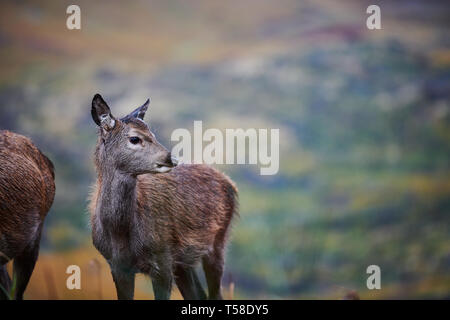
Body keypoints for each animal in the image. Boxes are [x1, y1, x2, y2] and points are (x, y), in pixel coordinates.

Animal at [87, 94, 239, 298]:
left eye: (153, 134)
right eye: (134, 138)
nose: (172, 158)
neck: (120, 234)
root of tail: (229, 183)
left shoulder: (162, 259)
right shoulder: (117, 267)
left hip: (217, 242)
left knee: (215, 293)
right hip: (184, 262)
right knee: (197, 293)